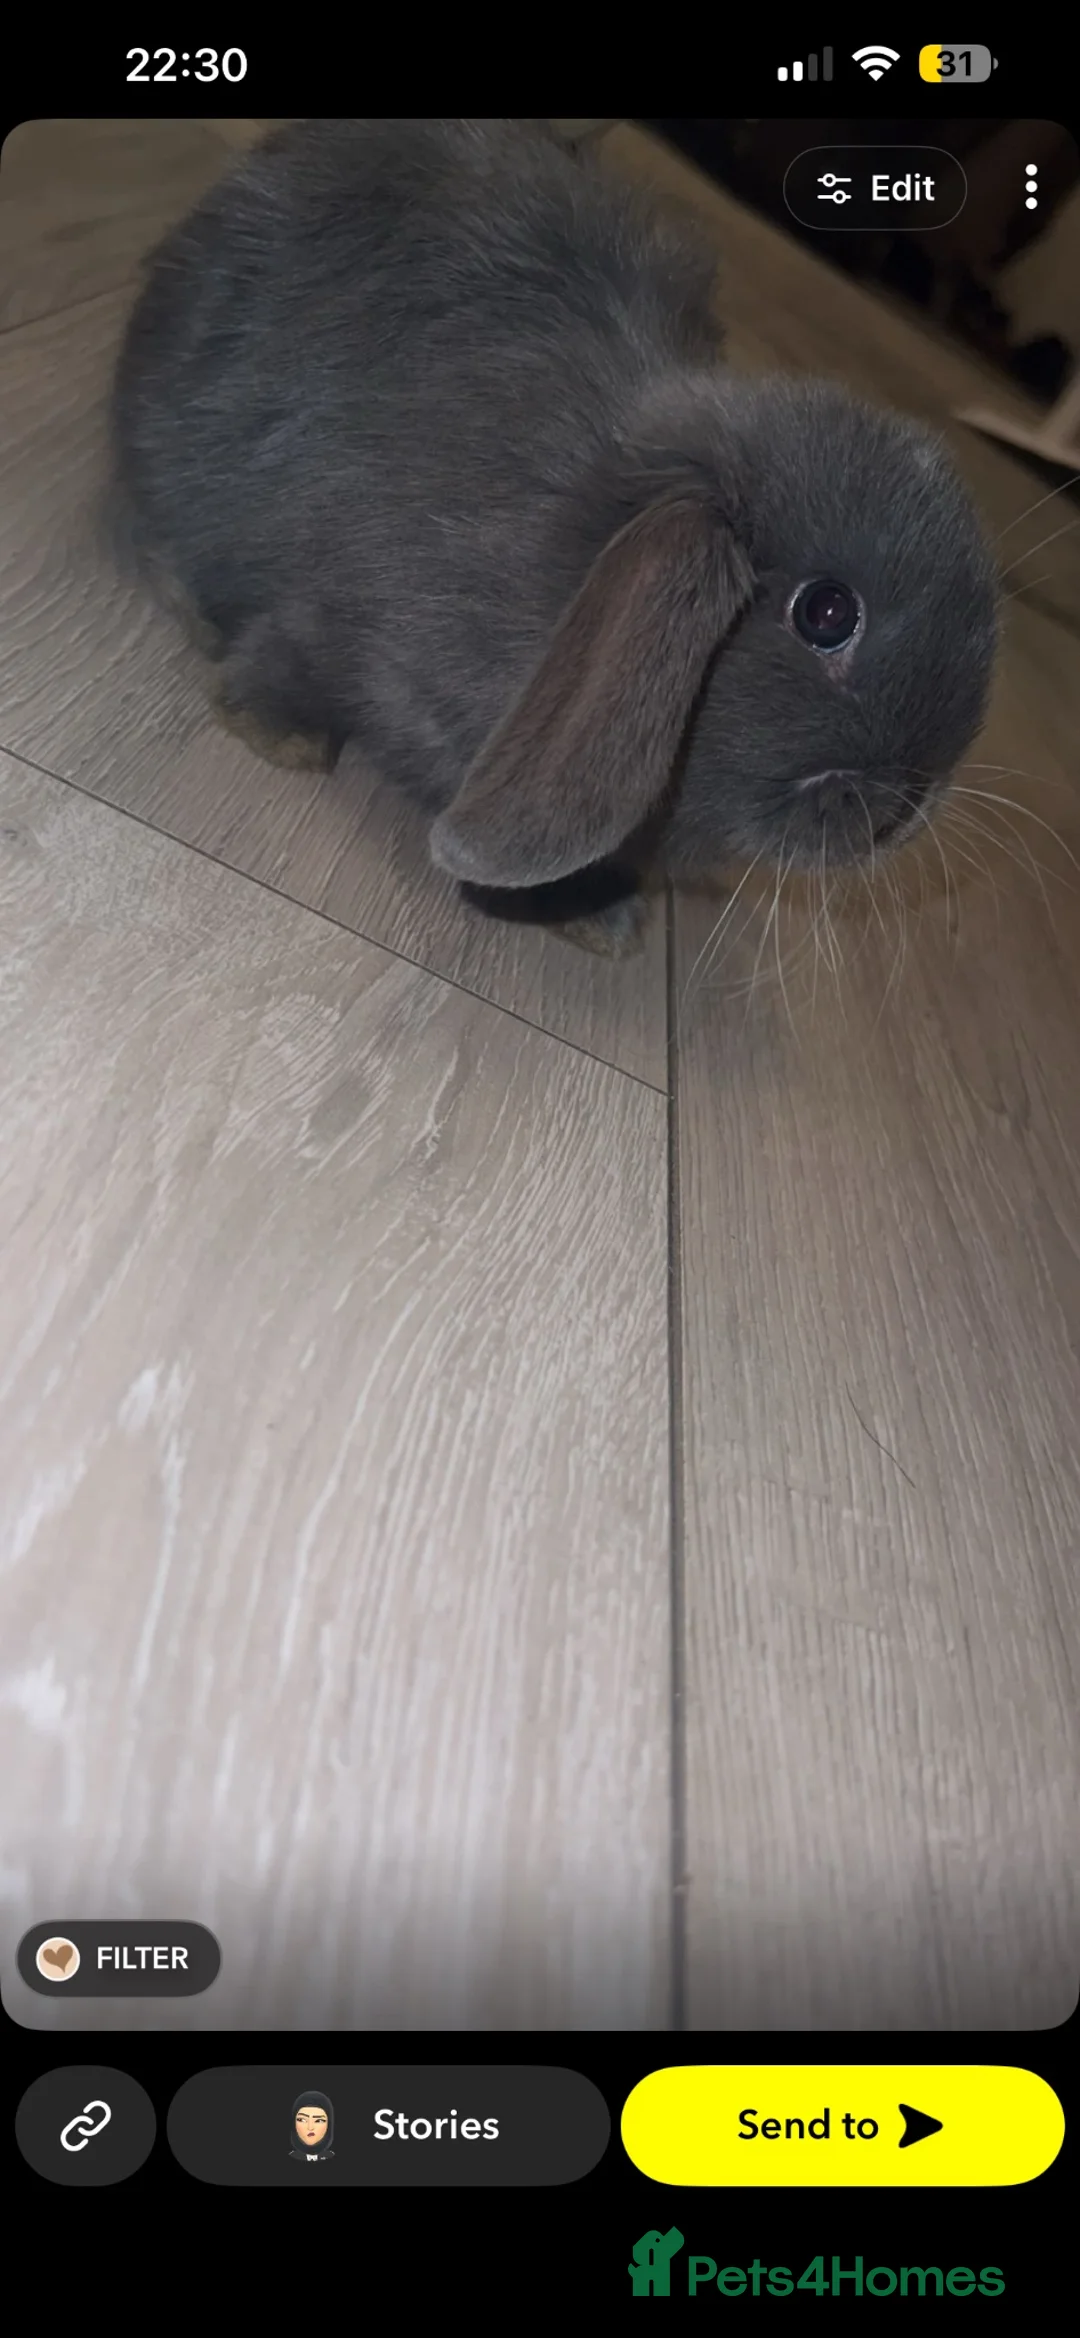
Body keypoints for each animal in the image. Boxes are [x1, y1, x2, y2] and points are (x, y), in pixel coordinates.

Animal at [110, 118, 999, 954]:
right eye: (825, 613)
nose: (905, 814)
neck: (582, 539)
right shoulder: (336, 597)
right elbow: (295, 653)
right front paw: (281, 738)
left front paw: (602, 923)